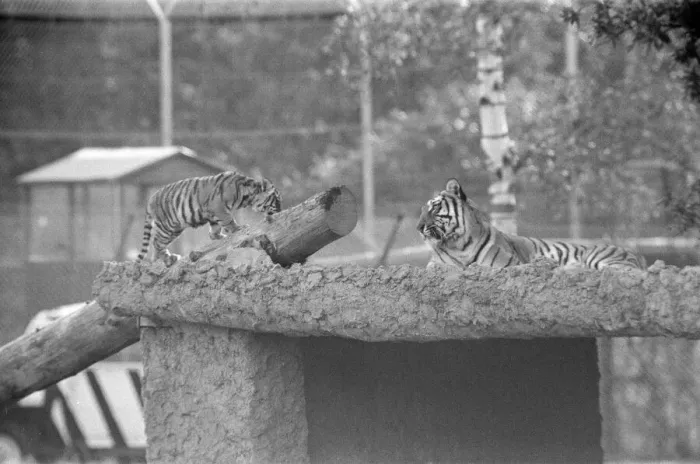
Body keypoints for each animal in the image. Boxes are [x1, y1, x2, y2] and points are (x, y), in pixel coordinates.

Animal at [137, 171, 281, 267]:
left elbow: (215, 228)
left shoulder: (213, 213)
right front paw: (238, 228)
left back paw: (160, 260)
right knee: (156, 242)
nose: (280, 211)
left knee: (156, 244)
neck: (246, 195)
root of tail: (151, 199)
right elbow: (228, 220)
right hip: (169, 226)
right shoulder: (219, 207)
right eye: (277, 200)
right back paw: (168, 259)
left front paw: (218, 236)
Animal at [417, 178, 647, 270]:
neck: (458, 245)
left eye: (434, 208)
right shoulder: (435, 265)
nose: (418, 228)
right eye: (421, 210)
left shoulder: (508, 264)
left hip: (599, 256)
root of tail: (637, 254)